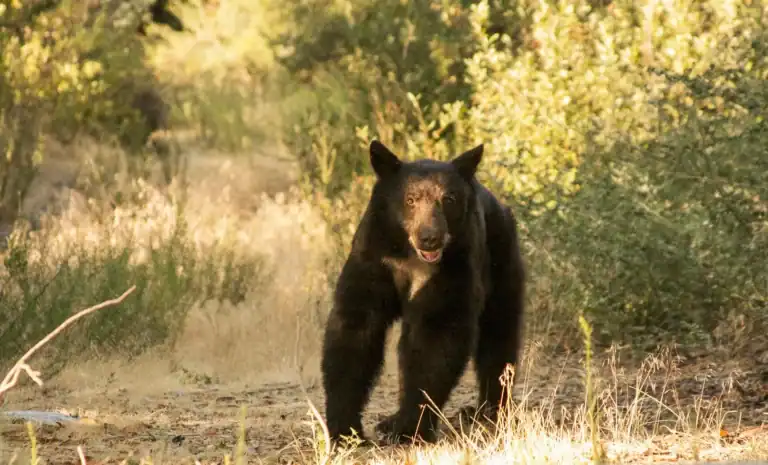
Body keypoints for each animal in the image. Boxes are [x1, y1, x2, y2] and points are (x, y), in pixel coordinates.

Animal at [320, 140, 526, 446]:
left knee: (499, 334)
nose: (430, 237)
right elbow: (355, 329)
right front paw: (346, 429)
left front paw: (409, 427)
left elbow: (435, 333)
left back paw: (489, 410)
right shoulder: (373, 257)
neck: (408, 254)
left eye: (449, 199)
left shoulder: (453, 266)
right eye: (411, 199)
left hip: (501, 258)